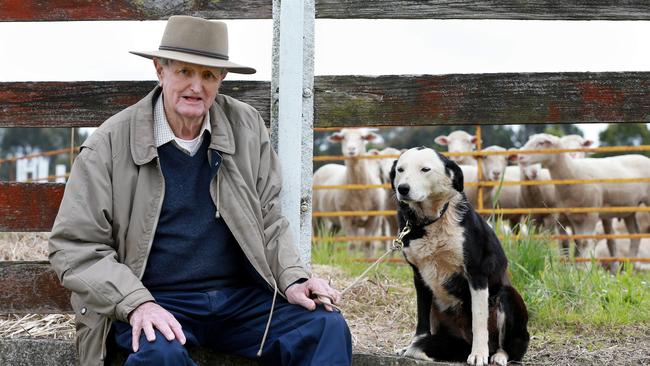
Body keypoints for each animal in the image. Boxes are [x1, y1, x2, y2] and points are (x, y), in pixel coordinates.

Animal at [390, 147, 528, 364]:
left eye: (425, 169)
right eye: (400, 170)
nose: (402, 188)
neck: (430, 222)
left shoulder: (476, 273)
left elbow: (478, 320)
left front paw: (478, 354)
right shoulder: (419, 277)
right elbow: (421, 321)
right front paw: (412, 346)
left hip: (507, 296)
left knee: (510, 348)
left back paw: (497, 356)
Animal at [516, 134, 648, 260]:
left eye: (541, 142)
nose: (520, 157)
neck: (574, 172)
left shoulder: (591, 214)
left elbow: (585, 242)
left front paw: (586, 267)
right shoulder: (574, 216)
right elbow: (578, 241)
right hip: (629, 210)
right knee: (635, 235)